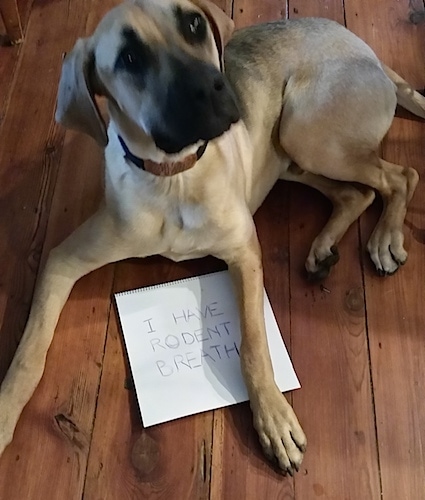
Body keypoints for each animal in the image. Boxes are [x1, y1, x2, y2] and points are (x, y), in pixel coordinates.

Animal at [0, 0, 424, 474]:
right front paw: (4, 412)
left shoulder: (244, 253)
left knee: (402, 176)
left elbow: (254, 346)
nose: (214, 88)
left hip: (305, 133)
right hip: (292, 153)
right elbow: (29, 354)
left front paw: (273, 417)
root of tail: (367, 51)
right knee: (360, 192)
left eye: (193, 23)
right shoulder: (63, 260)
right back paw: (324, 248)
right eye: (129, 58)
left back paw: (385, 239)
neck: (176, 177)